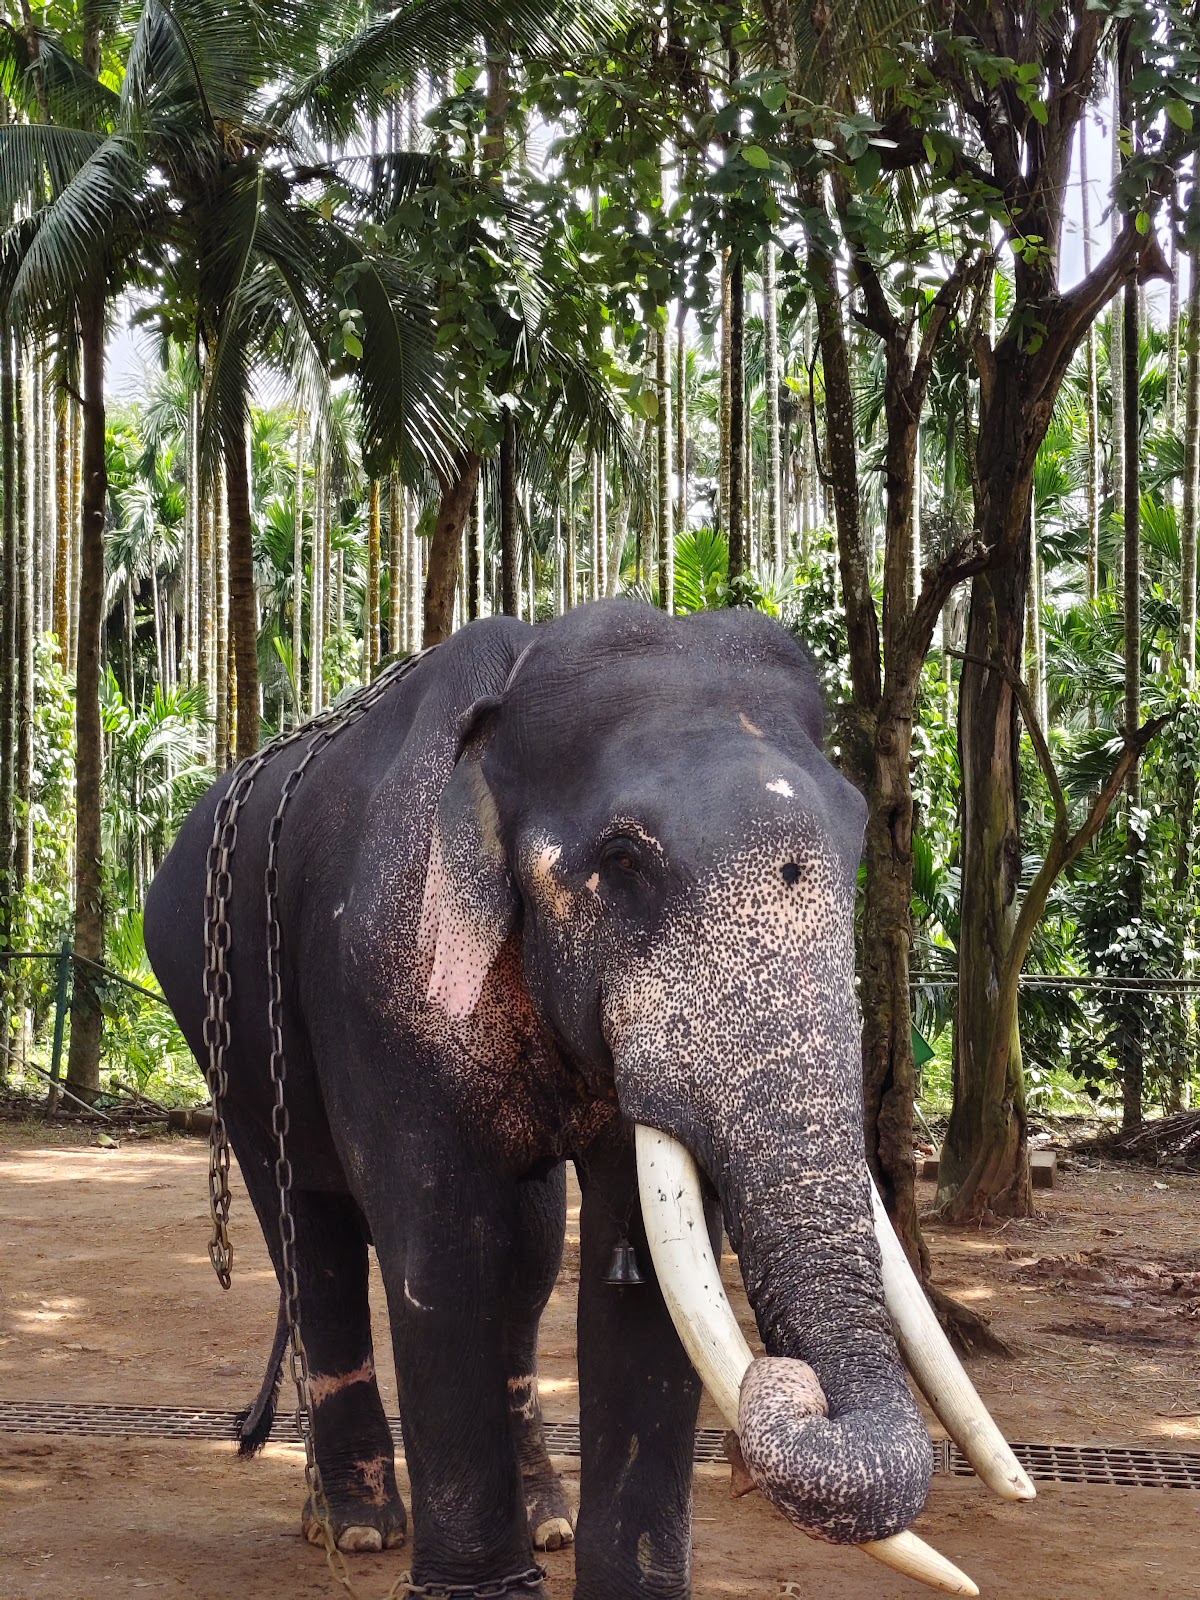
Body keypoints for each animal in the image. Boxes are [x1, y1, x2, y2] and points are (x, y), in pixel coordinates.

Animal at [145, 599, 1032, 1600]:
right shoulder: (381, 978)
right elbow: (439, 1247)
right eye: (621, 859)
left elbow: (641, 1266)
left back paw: (544, 1520)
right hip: (221, 1024)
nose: (793, 1386)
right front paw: (475, 1590)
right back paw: (359, 1529)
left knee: (527, 1253)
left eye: (856, 845)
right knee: (313, 1238)